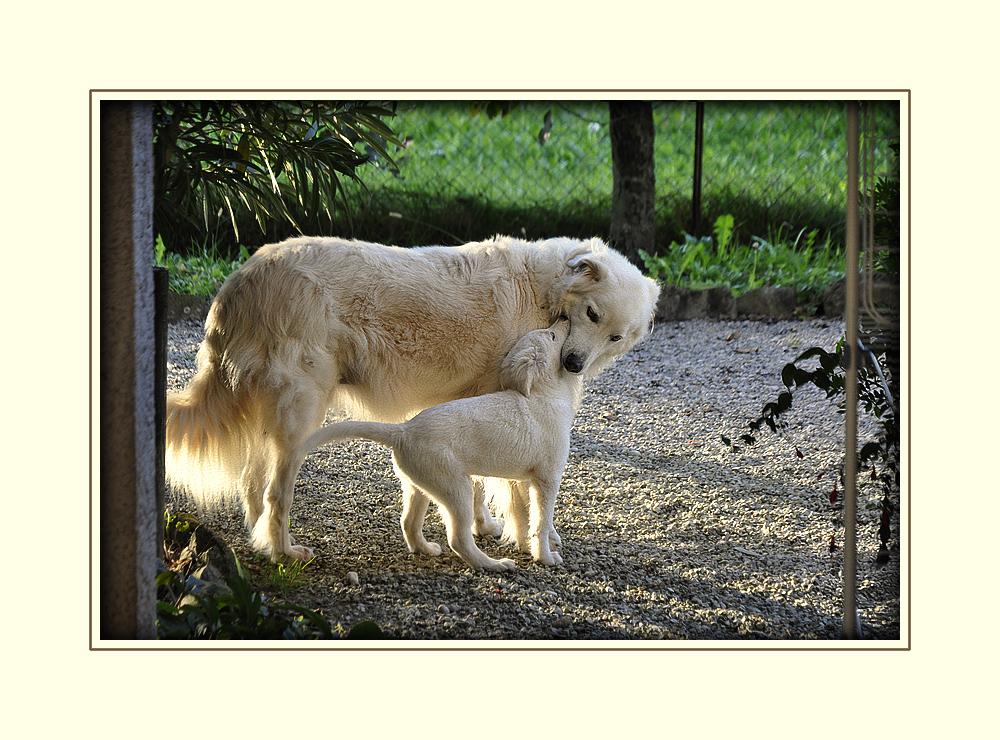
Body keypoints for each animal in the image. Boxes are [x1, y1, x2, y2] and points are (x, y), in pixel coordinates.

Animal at [296, 320, 580, 568]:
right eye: (552, 336)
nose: (564, 318)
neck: (543, 395)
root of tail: (403, 431)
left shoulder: (520, 479)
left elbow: (523, 516)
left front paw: (525, 547)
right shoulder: (546, 479)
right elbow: (540, 522)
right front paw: (545, 557)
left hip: (419, 483)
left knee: (408, 522)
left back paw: (426, 549)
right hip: (456, 487)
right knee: (458, 538)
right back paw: (493, 565)